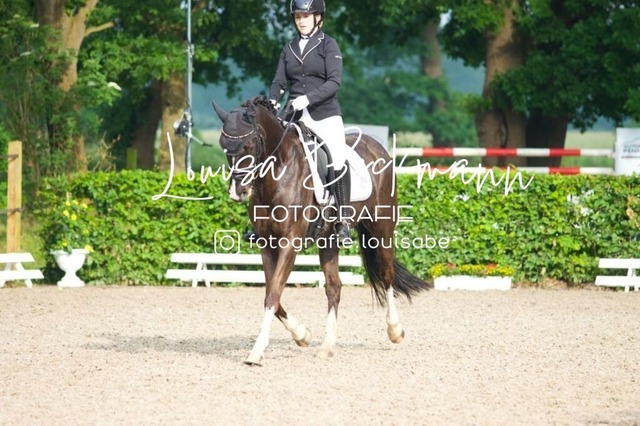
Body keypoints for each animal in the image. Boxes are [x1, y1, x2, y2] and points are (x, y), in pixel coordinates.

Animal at [212, 96, 429, 365]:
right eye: (223, 146)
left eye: (249, 144)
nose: (238, 192)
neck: (279, 171)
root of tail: (377, 147)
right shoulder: (267, 244)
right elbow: (273, 293)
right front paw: (302, 334)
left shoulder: (289, 243)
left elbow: (273, 293)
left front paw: (256, 351)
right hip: (329, 240)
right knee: (334, 287)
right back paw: (327, 346)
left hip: (382, 229)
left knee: (386, 275)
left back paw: (395, 330)